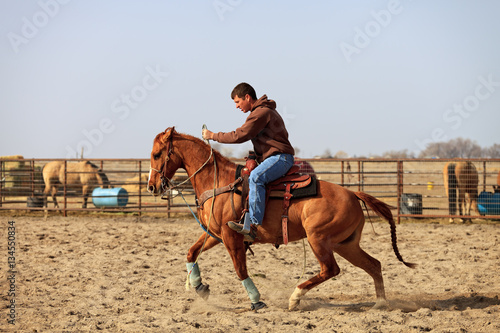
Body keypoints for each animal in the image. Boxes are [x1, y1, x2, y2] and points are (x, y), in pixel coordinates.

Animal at [147, 127, 414, 312]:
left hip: (319, 239)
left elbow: (240, 270)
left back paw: (295, 298)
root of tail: (352, 193)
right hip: (345, 244)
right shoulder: (215, 233)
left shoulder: (232, 236)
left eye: (157, 154)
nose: (151, 187)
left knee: (331, 269)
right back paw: (380, 304)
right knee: (373, 264)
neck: (219, 182)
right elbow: (191, 252)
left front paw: (257, 302)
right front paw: (198, 286)